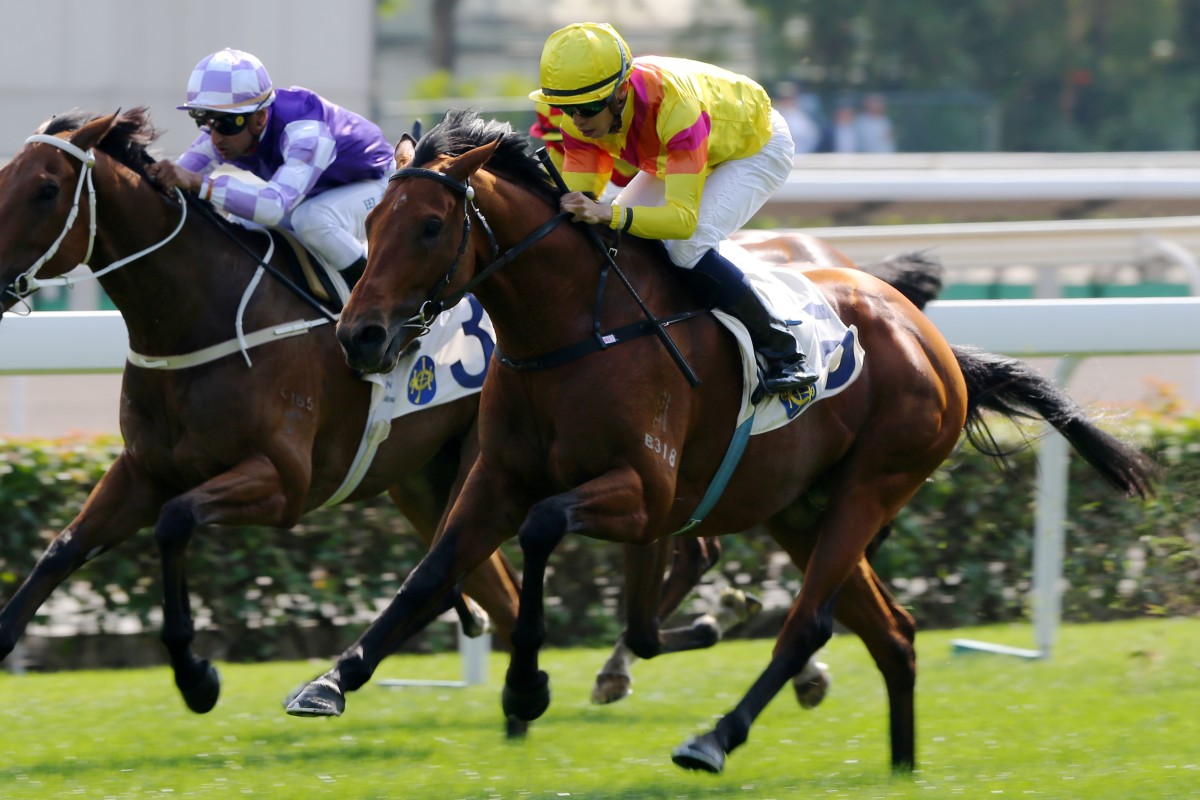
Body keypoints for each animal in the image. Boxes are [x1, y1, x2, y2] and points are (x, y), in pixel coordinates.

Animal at [285, 112, 1156, 777]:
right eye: (370, 223)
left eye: (431, 227)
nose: (360, 337)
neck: (571, 329)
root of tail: (932, 340)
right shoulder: (496, 477)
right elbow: (432, 572)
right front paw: (332, 681)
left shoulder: (645, 493)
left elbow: (540, 530)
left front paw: (527, 686)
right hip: (800, 509)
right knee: (895, 633)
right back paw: (902, 766)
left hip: (872, 486)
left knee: (808, 624)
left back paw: (714, 738)